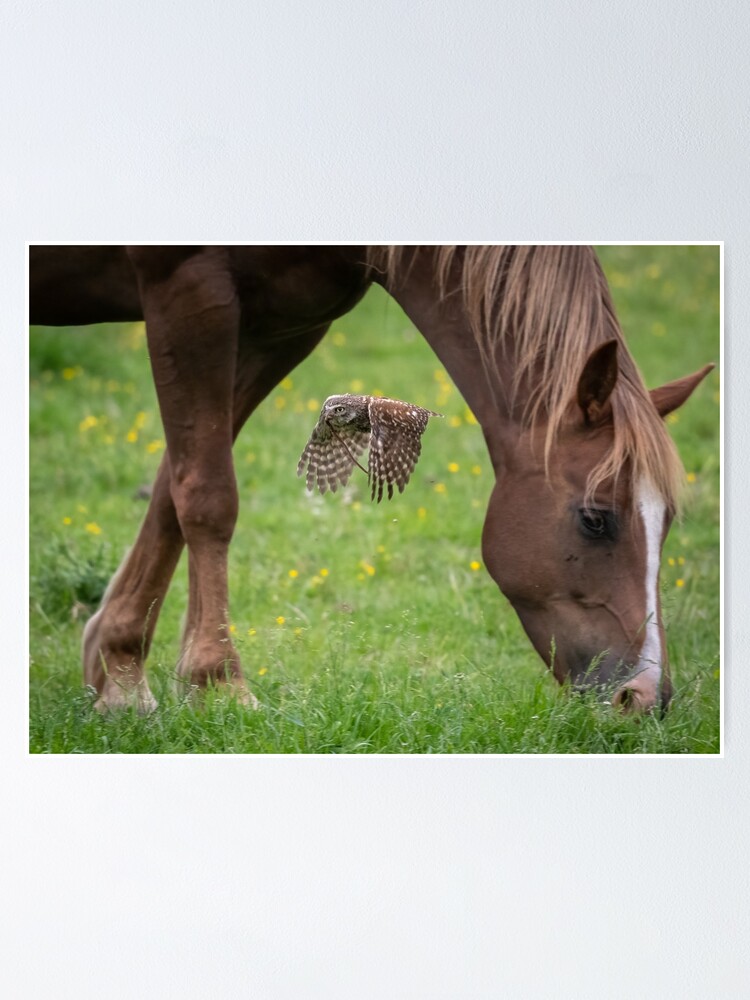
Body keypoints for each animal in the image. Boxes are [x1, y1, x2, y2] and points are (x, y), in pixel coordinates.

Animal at [29, 245, 713, 714]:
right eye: (596, 519)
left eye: (669, 525)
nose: (646, 698)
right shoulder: (189, 287)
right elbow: (206, 495)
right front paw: (217, 684)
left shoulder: (283, 325)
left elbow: (173, 490)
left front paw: (118, 672)